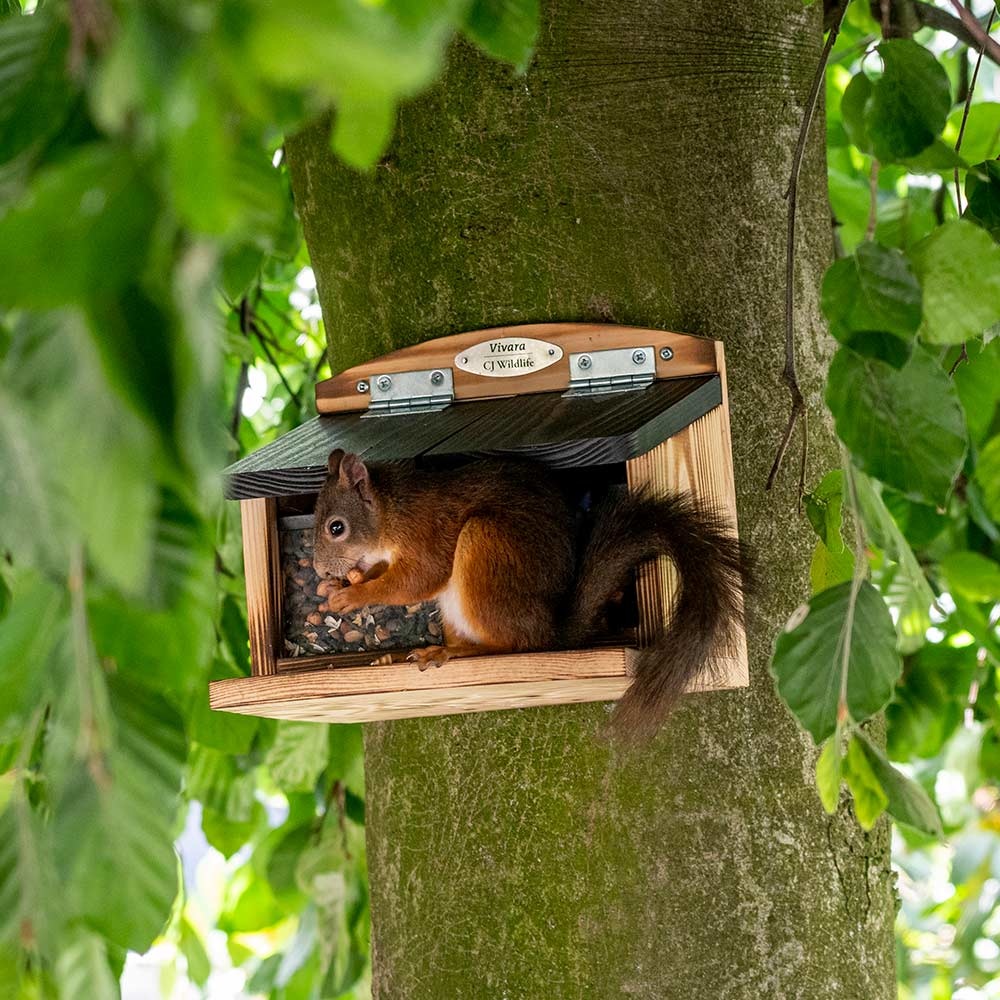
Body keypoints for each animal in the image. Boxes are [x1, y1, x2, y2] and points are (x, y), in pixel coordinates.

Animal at [316, 450, 748, 740]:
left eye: (336, 527)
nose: (319, 570)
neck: (390, 512)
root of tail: (552, 631)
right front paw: (342, 584)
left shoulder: (425, 532)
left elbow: (418, 579)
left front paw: (352, 595)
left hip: (486, 545)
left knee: (514, 645)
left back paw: (453, 653)